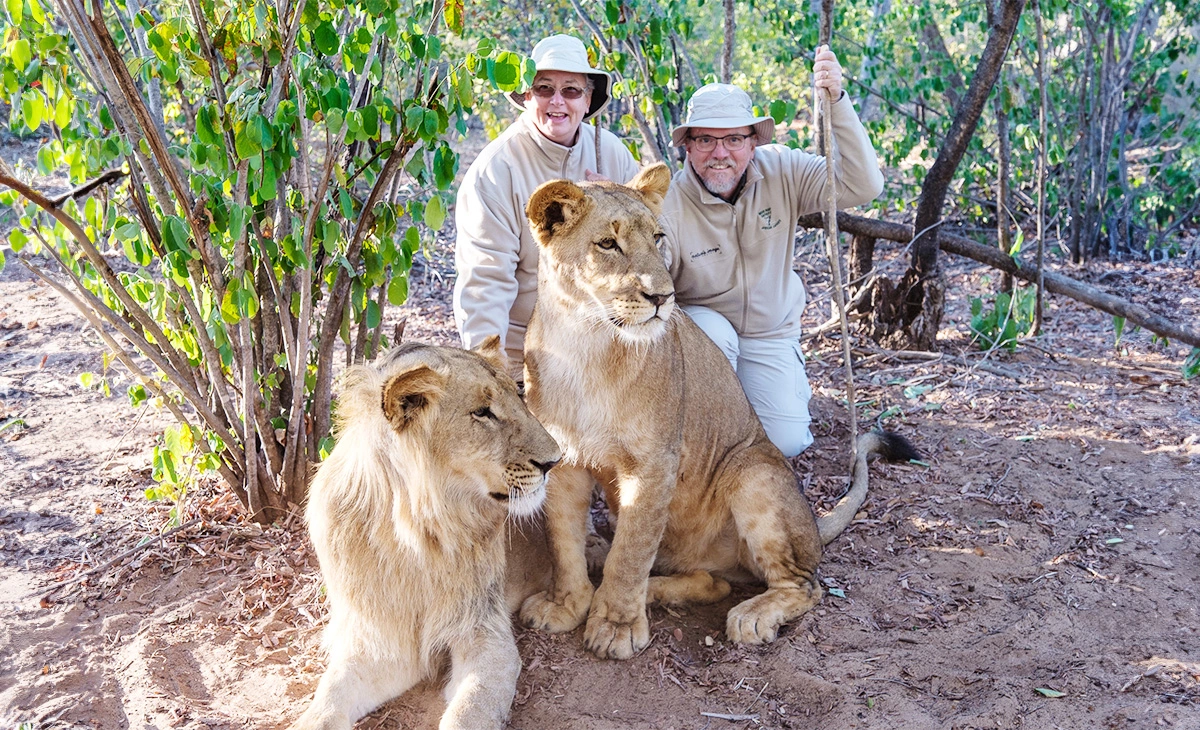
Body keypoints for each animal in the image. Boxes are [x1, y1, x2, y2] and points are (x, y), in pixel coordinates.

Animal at [291, 338, 560, 730]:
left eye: (519, 397)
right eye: (482, 412)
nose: (555, 460)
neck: (419, 536)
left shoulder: (485, 634)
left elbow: (469, 713)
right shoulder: (383, 643)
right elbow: (327, 704)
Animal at [518, 163, 919, 660]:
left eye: (658, 239)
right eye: (607, 244)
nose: (663, 298)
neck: (584, 342)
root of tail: (812, 524)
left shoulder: (654, 463)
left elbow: (631, 552)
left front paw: (616, 626)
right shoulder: (563, 459)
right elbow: (563, 542)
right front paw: (567, 605)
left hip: (752, 472)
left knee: (804, 585)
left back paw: (749, 617)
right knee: (713, 582)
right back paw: (645, 584)